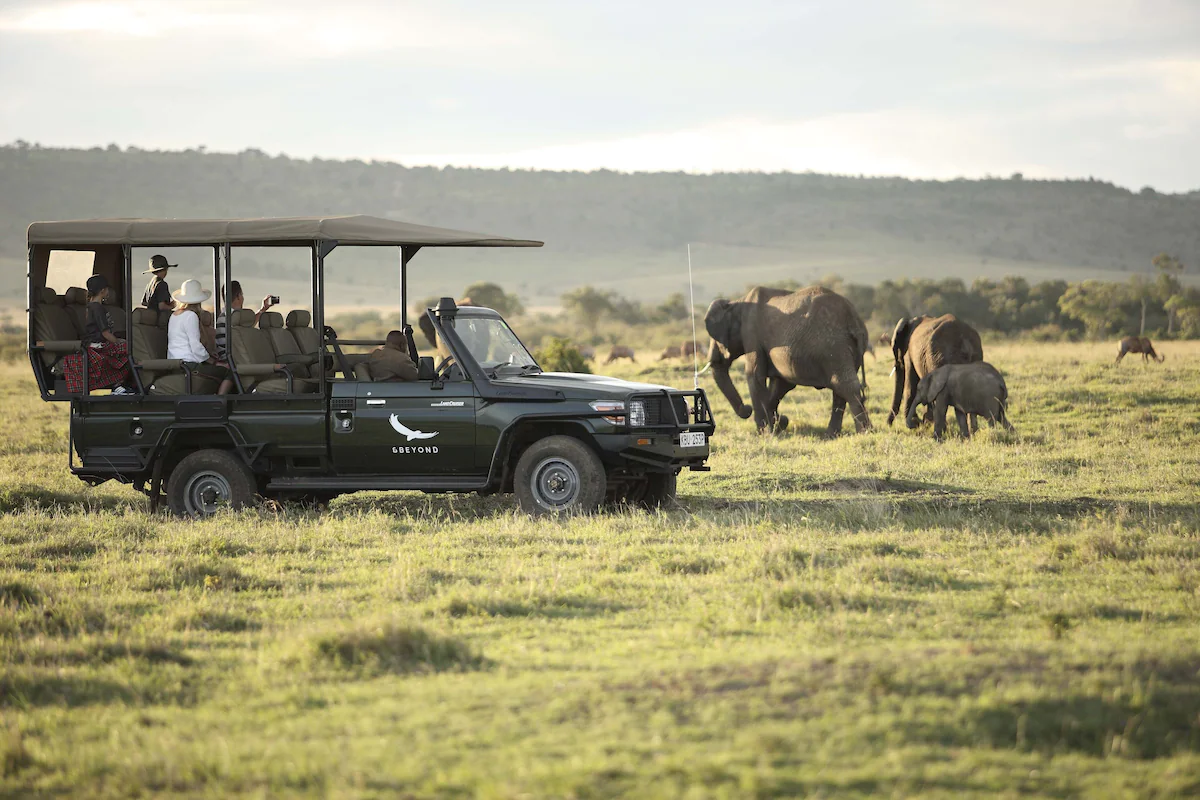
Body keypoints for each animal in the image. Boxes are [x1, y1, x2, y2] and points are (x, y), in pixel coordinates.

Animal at [700, 284, 873, 434]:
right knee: (840, 389)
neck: (736, 302)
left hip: (833, 346)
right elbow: (782, 383)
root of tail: (853, 319)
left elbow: (754, 375)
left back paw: (864, 432)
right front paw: (778, 424)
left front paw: (765, 432)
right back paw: (832, 434)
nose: (746, 408)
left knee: (845, 386)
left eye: (715, 338)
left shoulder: (751, 334)